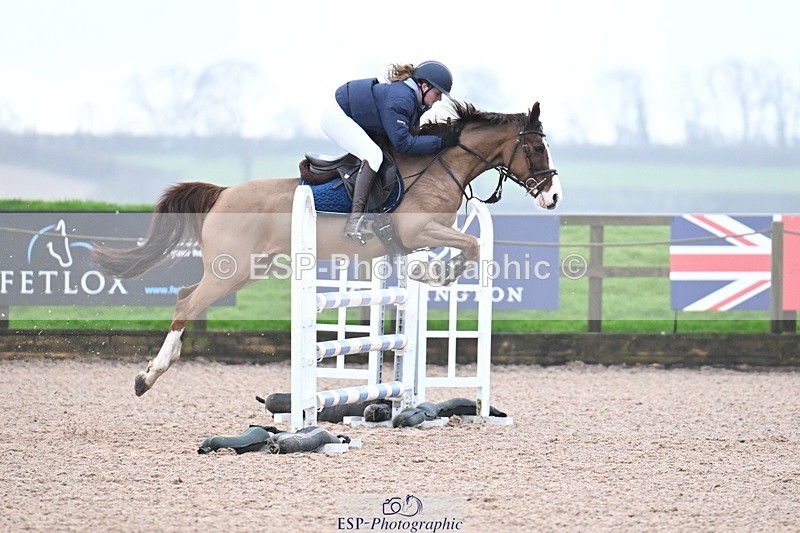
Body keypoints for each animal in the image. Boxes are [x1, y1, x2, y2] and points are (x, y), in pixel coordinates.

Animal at [92, 100, 562, 396]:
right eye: (536, 147)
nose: (553, 196)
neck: (439, 166)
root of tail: (224, 193)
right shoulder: (417, 232)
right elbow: (472, 243)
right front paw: (435, 274)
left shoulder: (423, 236)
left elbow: (468, 245)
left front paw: (431, 274)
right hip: (232, 269)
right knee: (186, 301)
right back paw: (148, 376)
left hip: (248, 269)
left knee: (188, 297)